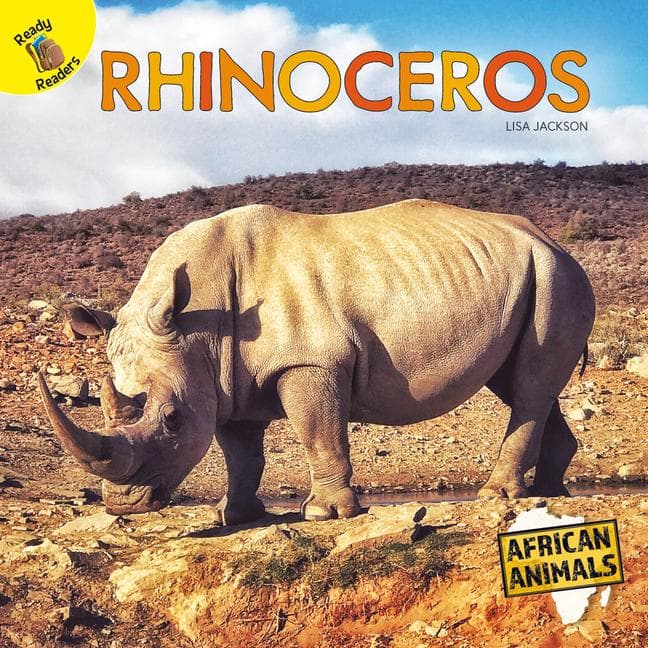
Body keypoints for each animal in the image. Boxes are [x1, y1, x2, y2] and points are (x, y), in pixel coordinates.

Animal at [39, 199, 595, 523]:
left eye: (171, 419)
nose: (123, 504)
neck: (197, 326)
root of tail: (551, 240)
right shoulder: (222, 381)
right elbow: (240, 451)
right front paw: (233, 516)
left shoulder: (310, 362)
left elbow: (318, 431)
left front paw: (325, 514)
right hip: (532, 276)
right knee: (521, 383)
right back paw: (551, 492)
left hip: (557, 276)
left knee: (530, 383)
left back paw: (498, 497)